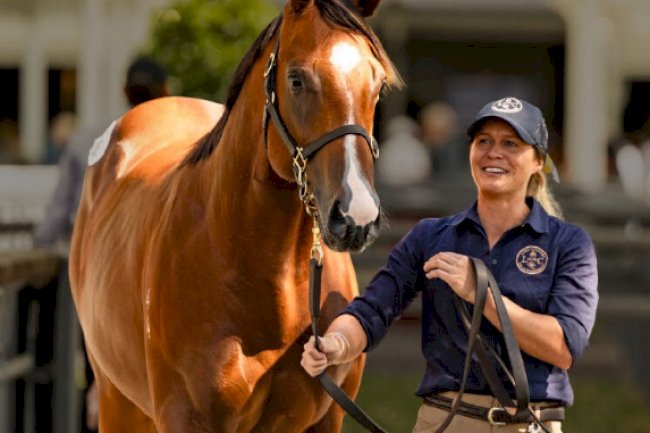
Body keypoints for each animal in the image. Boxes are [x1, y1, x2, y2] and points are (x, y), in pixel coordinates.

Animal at [68, 0, 400, 431]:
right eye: (296, 80)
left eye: (377, 85)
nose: (356, 216)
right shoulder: (187, 419)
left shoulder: (326, 420)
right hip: (116, 399)